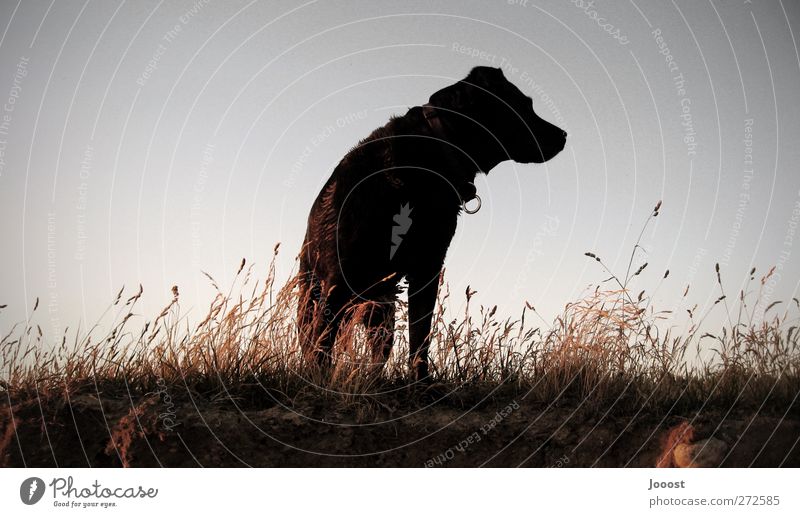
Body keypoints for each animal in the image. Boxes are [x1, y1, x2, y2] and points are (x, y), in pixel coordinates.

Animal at [296, 66, 564, 378]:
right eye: (524, 104)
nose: (564, 135)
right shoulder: (339, 277)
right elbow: (322, 346)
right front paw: (319, 379)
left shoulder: (428, 266)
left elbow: (420, 336)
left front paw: (421, 382)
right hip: (317, 295)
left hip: (381, 305)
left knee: (380, 349)